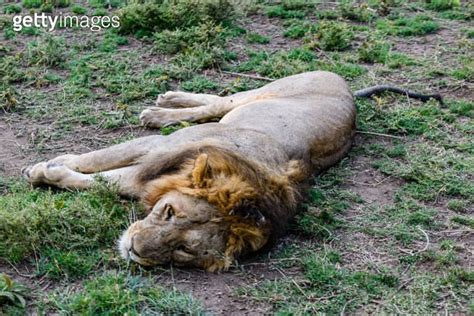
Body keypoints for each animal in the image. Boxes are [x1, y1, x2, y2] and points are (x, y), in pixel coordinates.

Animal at [22, 71, 440, 272]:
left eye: (185, 250)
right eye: (168, 211)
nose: (134, 249)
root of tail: (352, 93)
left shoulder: (146, 170)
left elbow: (105, 183)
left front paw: (50, 172)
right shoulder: (156, 148)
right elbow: (95, 160)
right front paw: (42, 168)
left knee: (215, 105)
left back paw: (162, 108)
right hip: (264, 93)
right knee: (221, 100)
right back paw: (163, 105)